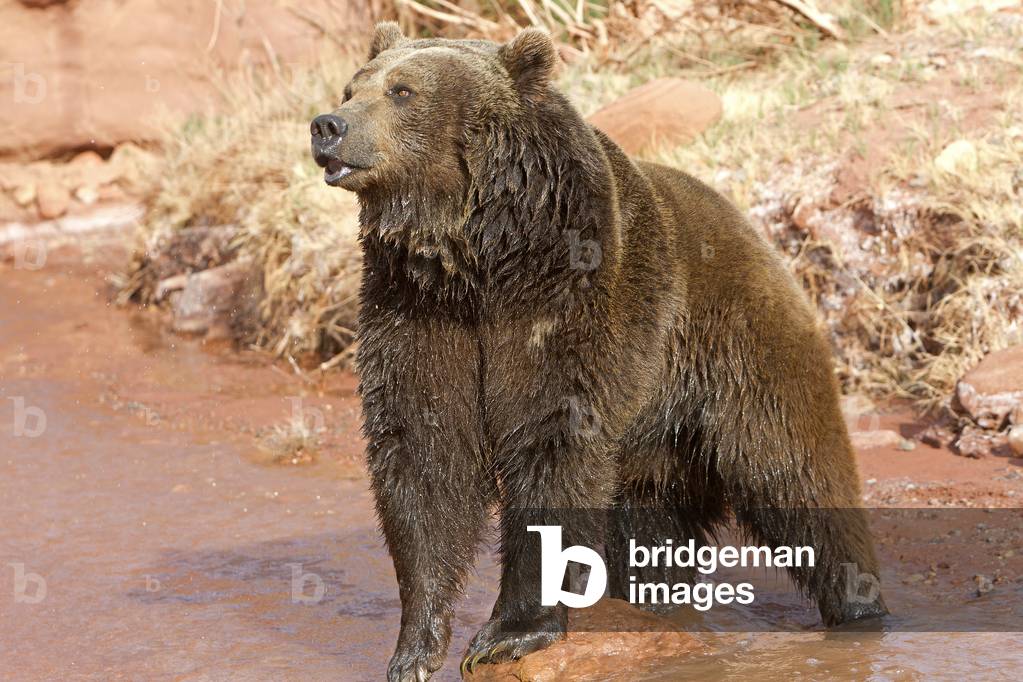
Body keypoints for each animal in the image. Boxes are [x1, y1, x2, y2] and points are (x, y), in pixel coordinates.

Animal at [310, 22, 887, 682]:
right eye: (352, 86)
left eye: (402, 90)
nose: (327, 125)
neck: (477, 253)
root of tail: (755, 232)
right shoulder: (416, 310)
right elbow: (424, 452)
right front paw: (415, 648)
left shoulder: (570, 295)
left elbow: (552, 445)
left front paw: (509, 634)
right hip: (657, 444)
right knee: (651, 523)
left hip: (742, 352)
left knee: (798, 472)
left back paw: (859, 604)